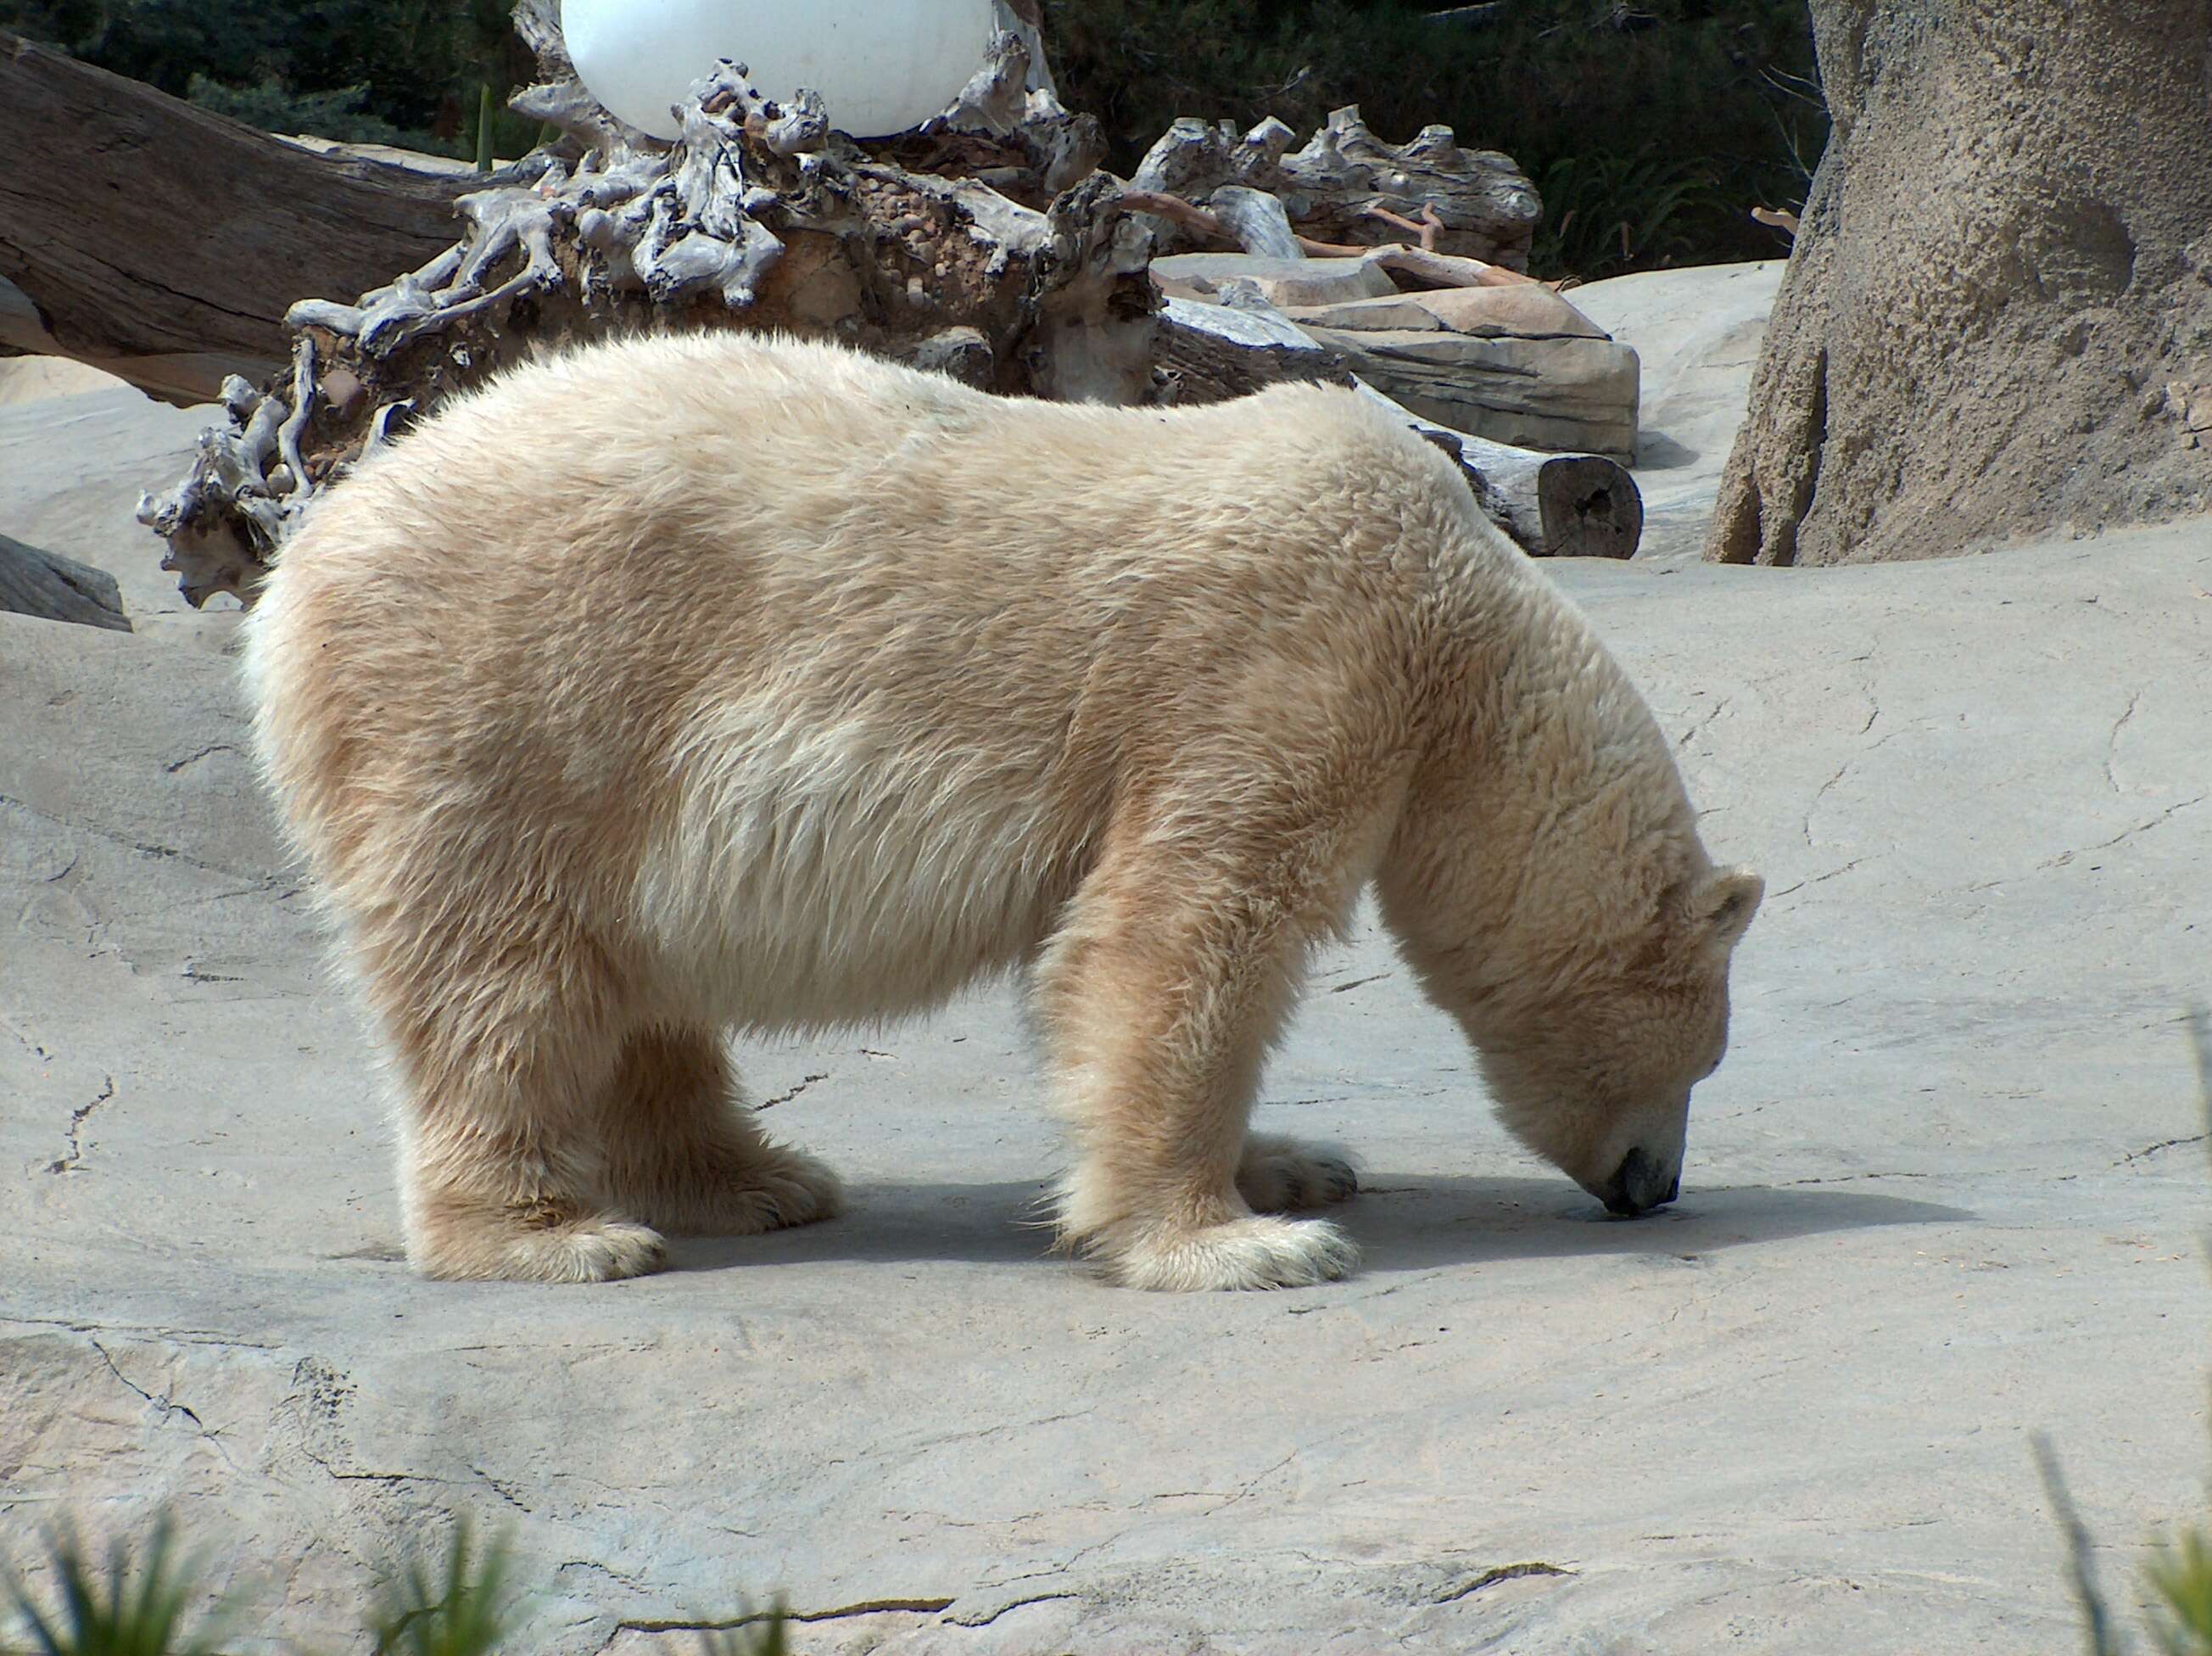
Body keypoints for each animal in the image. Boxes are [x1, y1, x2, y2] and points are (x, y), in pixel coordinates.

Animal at [246, 332, 1760, 1293]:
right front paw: (1239, 1245)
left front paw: (1292, 1166)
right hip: (512, 703)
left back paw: (755, 1178)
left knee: (630, 984)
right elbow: (1182, 931)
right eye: (1701, 1059)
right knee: (498, 977)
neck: (1464, 618)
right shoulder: (1287, 654)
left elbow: (1105, 959)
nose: (1655, 1187)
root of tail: (299, 568)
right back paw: (555, 1236)